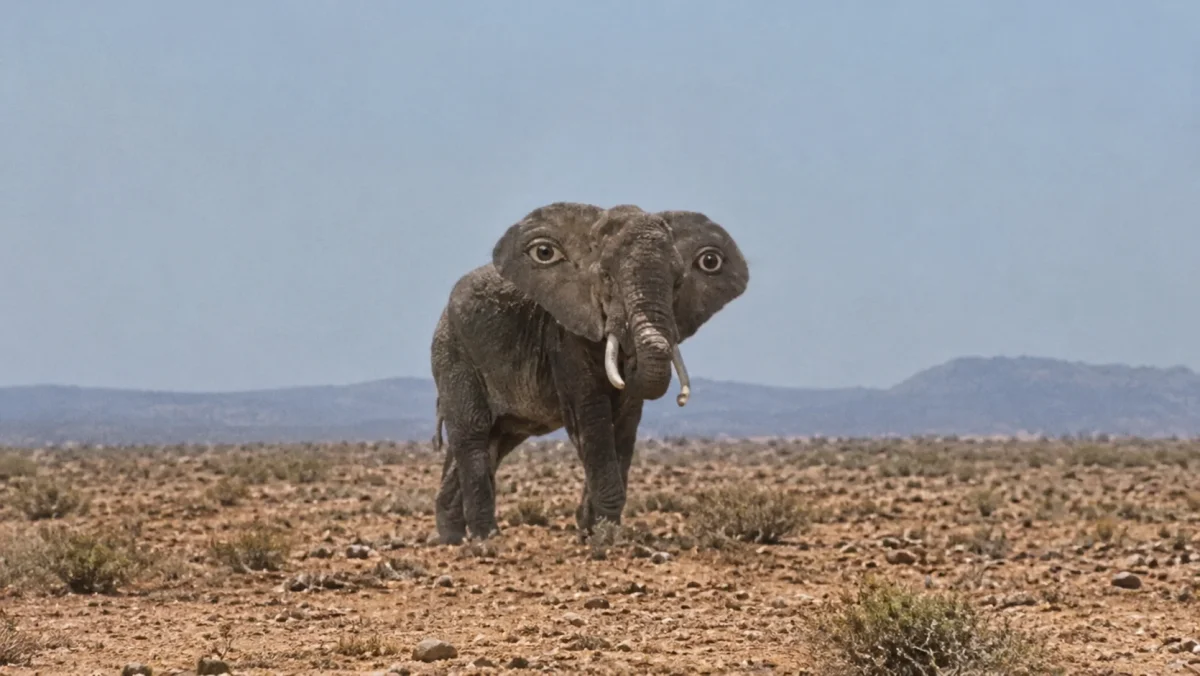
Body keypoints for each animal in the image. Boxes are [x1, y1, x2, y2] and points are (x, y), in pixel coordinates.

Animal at [429, 202, 748, 544]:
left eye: (678, 282)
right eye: (606, 277)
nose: (630, 356)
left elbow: (625, 421)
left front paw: (595, 529)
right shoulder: (563, 336)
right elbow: (591, 415)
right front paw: (604, 536)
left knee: (495, 441)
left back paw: (452, 537)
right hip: (453, 352)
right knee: (474, 434)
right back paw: (485, 539)